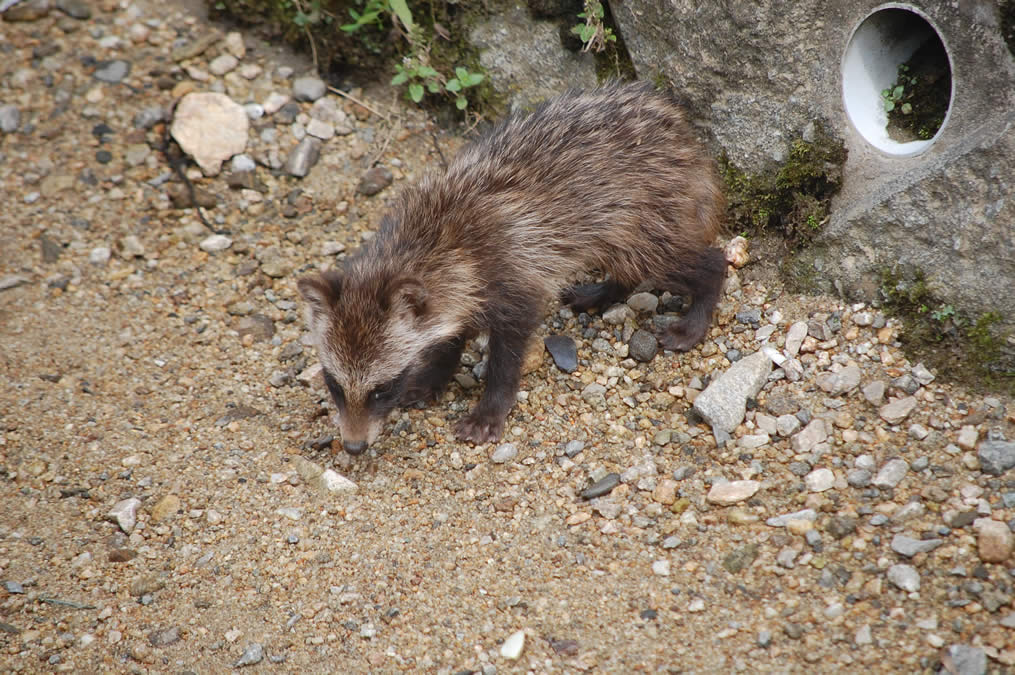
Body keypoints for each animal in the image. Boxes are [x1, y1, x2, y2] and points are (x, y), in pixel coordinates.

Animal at [296, 81, 726, 454]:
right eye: (334, 385)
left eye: (381, 390)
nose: (353, 447)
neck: (429, 242)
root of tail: (681, 131)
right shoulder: (462, 288)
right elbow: (452, 333)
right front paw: (438, 371)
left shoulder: (512, 274)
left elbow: (508, 352)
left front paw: (490, 406)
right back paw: (608, 288)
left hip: (648, 210)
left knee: (678, 258)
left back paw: (701, 299)